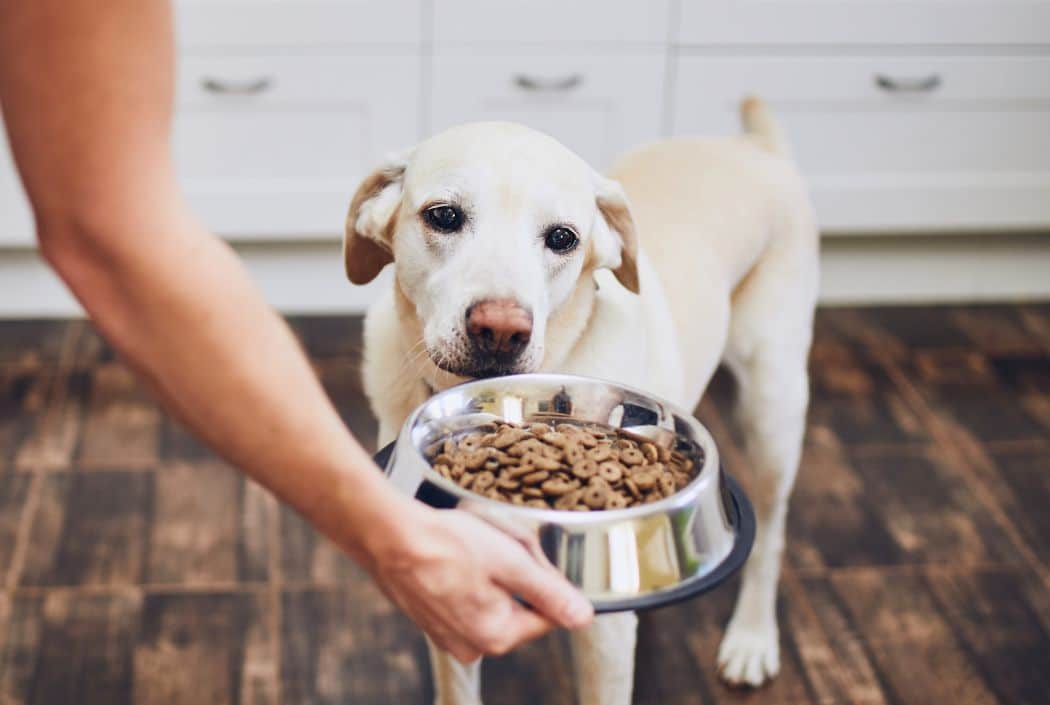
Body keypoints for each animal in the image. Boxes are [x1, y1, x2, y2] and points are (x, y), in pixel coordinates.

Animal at [344, 95, 818, 705]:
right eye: (443, 216)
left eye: (563, 238)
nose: (500, 330)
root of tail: (754, 147)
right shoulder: (451, 596)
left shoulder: (605, 637)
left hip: (772, 407)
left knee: (773, 534)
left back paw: (752, 639)